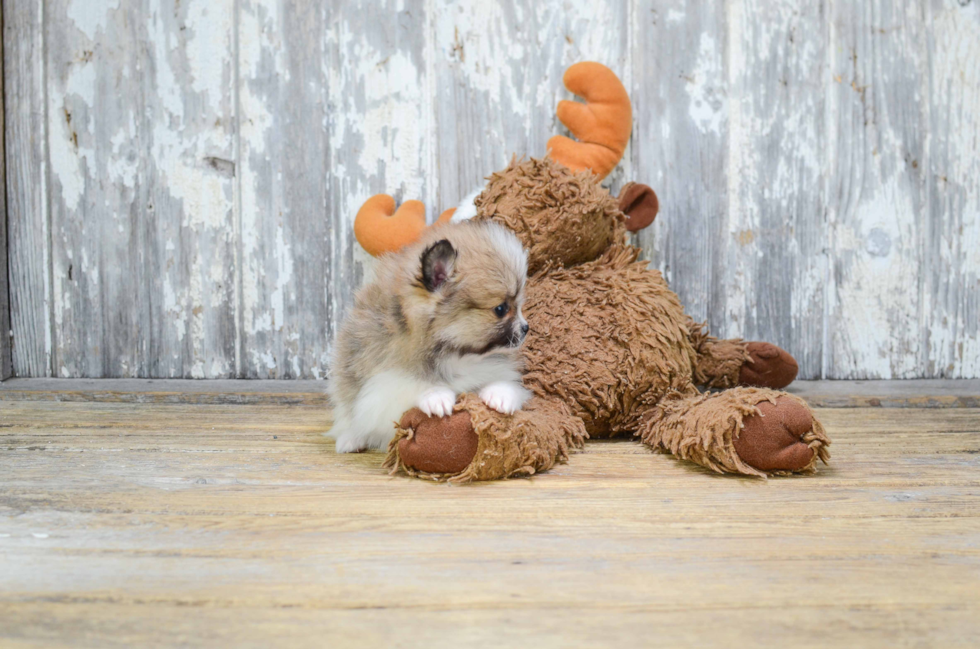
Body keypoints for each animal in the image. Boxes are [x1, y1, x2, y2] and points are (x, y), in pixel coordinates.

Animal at [328, 218, 528, 450]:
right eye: (501, 309)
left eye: (519, 305)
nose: (526, 328)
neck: (453, 355)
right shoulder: (382, 387)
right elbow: (409, 388)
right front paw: (436, 396)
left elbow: (504, 381)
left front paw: (500, 394)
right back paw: (351, 439)